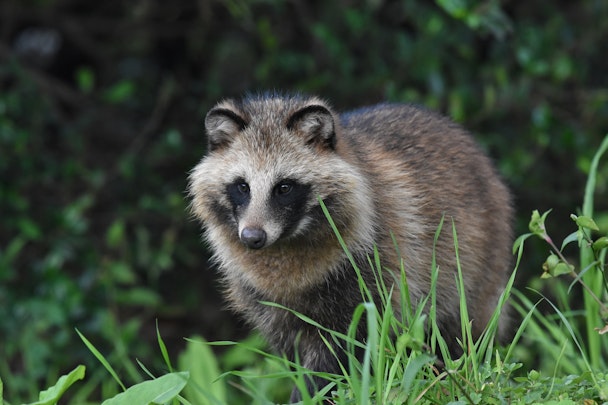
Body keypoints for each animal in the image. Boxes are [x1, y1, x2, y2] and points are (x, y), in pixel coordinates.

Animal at [186, 92, 512, 400]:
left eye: (284, 187)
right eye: (242, 186)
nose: (252, 238)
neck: (286, 243)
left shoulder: (373, 271)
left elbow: (343, 350)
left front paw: (312, 393)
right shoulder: (267, 301)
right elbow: (293, 352)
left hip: (478, 263)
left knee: (461, 330)